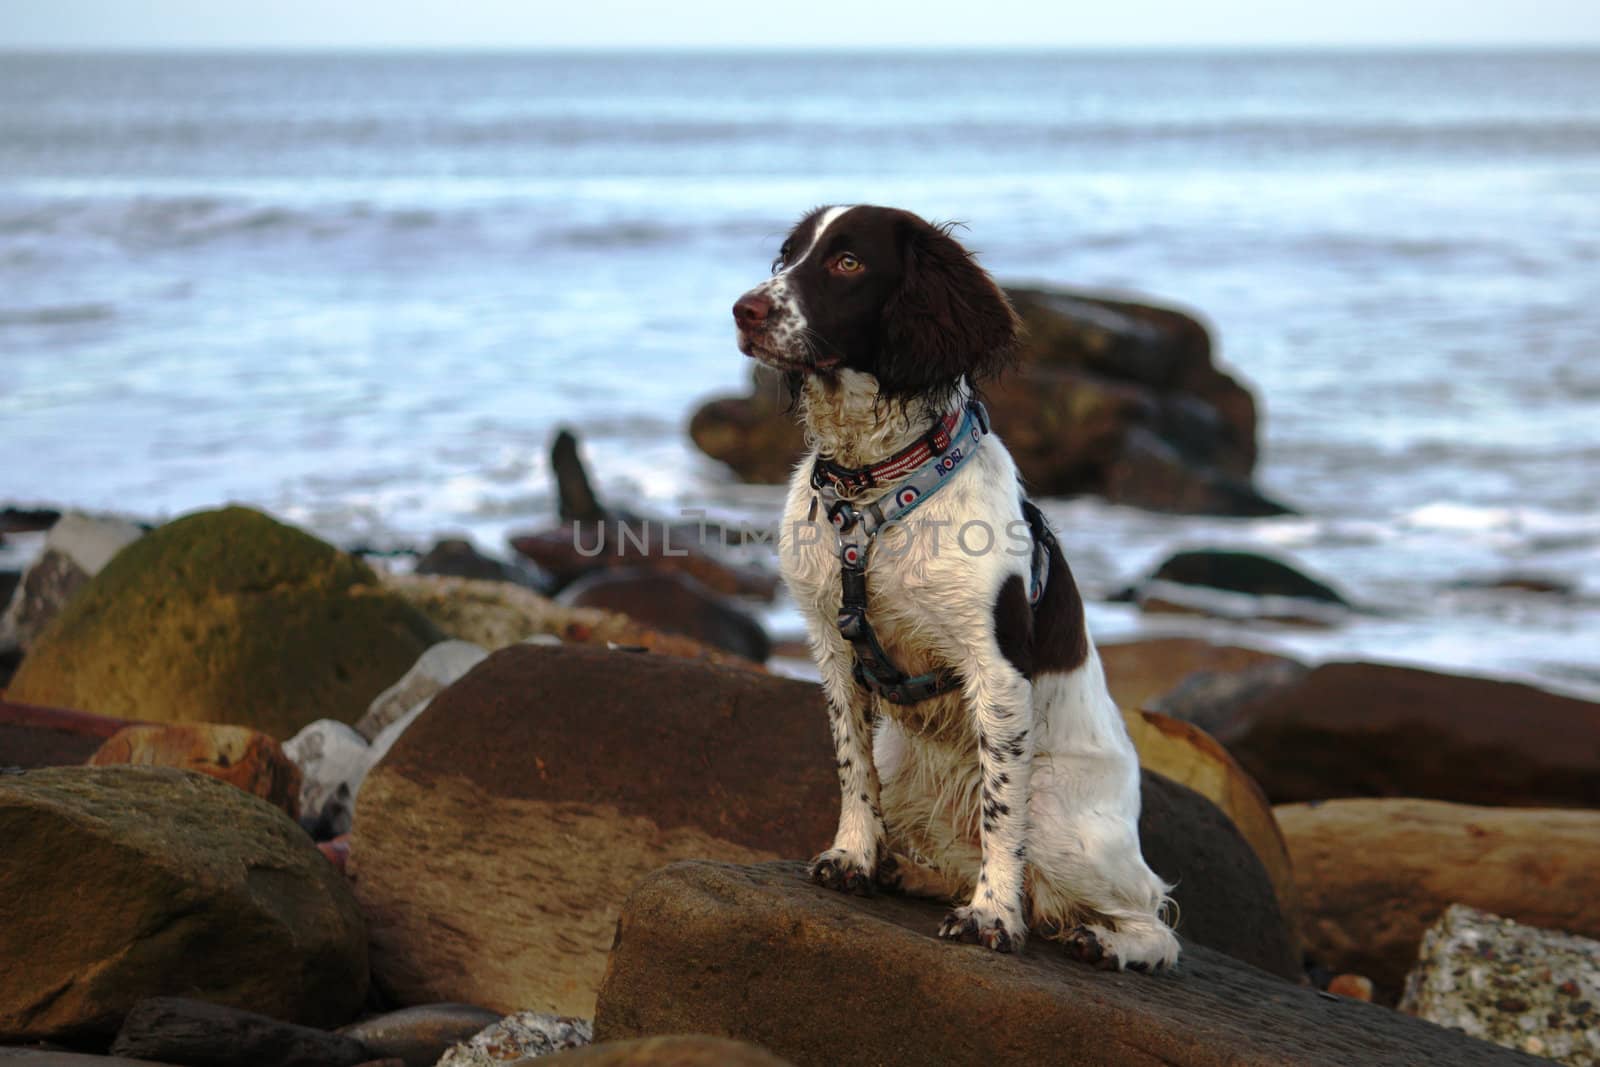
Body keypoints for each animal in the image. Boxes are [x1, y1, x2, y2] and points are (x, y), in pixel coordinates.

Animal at [732, 199, 1184, 966]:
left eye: (847, 262)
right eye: (786, 256)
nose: (744, 310)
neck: (874, 487)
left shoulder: (995, 669)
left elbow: (1002, 815)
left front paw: (992, 917)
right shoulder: (832, 643)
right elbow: (852, 766)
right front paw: (854, 856)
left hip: (1065, 819)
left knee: (1154, 916)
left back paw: (1106, 942)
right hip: (908, 764)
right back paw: (904, 869)